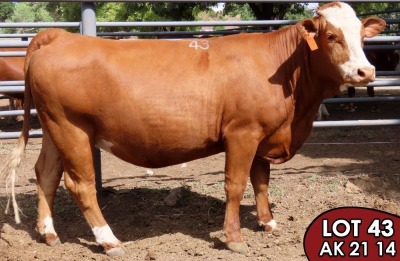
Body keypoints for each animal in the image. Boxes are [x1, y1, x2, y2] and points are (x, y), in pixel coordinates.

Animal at [1, 1, 386, 254]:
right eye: (331, 36)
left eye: (362, 36)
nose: (365, 72)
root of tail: (59, 37)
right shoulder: (242, 132)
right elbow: (235, 184)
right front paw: (234, 239)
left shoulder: (263, 135)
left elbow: (261, 182)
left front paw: (268, 222)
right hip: (72, 128)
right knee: (79, 184)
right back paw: (109, 240)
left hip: (54, 129)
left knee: (45, 174)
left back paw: (49, 234)